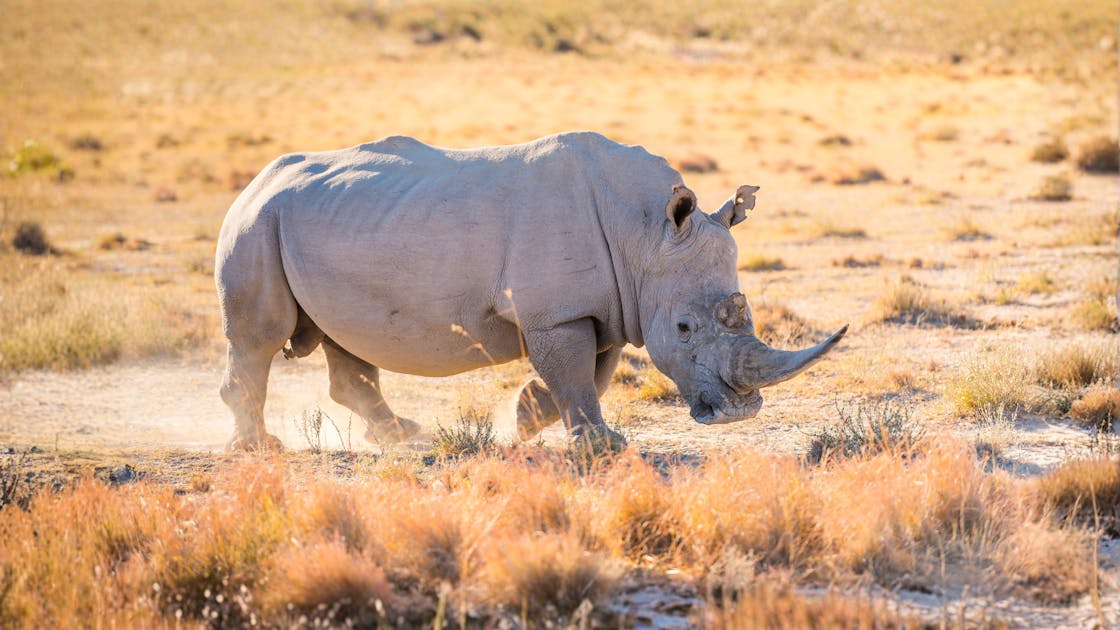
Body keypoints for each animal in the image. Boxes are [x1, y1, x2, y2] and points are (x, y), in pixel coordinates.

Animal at [215, 132, 847, 450]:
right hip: (257, 222)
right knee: (260, 339)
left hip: (317, 224)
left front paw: (525, 420)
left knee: (345, 340)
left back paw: (402, 436)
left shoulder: (602, 307)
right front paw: (604, 447)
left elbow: (591, 373)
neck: (646, 234)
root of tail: (256, 180)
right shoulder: (558, 312)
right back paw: (259, 449)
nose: (738, 414)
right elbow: (576, 375)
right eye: (685, 328)